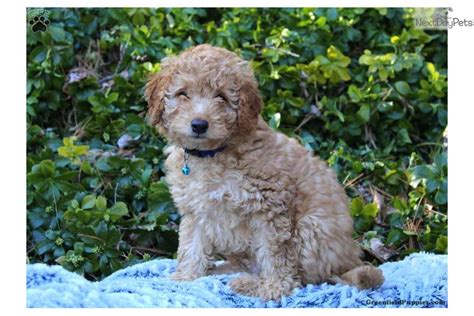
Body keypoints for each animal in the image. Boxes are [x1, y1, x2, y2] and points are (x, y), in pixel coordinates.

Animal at [145, 45, 386, 302]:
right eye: (183, 94)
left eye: (221, 97)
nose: (199, 124)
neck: (211, 154)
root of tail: (349, 260)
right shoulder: (196, 211)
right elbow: (192, 246)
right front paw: (185, 277)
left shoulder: (270, 206)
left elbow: (275, 256)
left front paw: (272, 289)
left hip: (311, 228)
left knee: (302, 278)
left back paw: (251, 285)